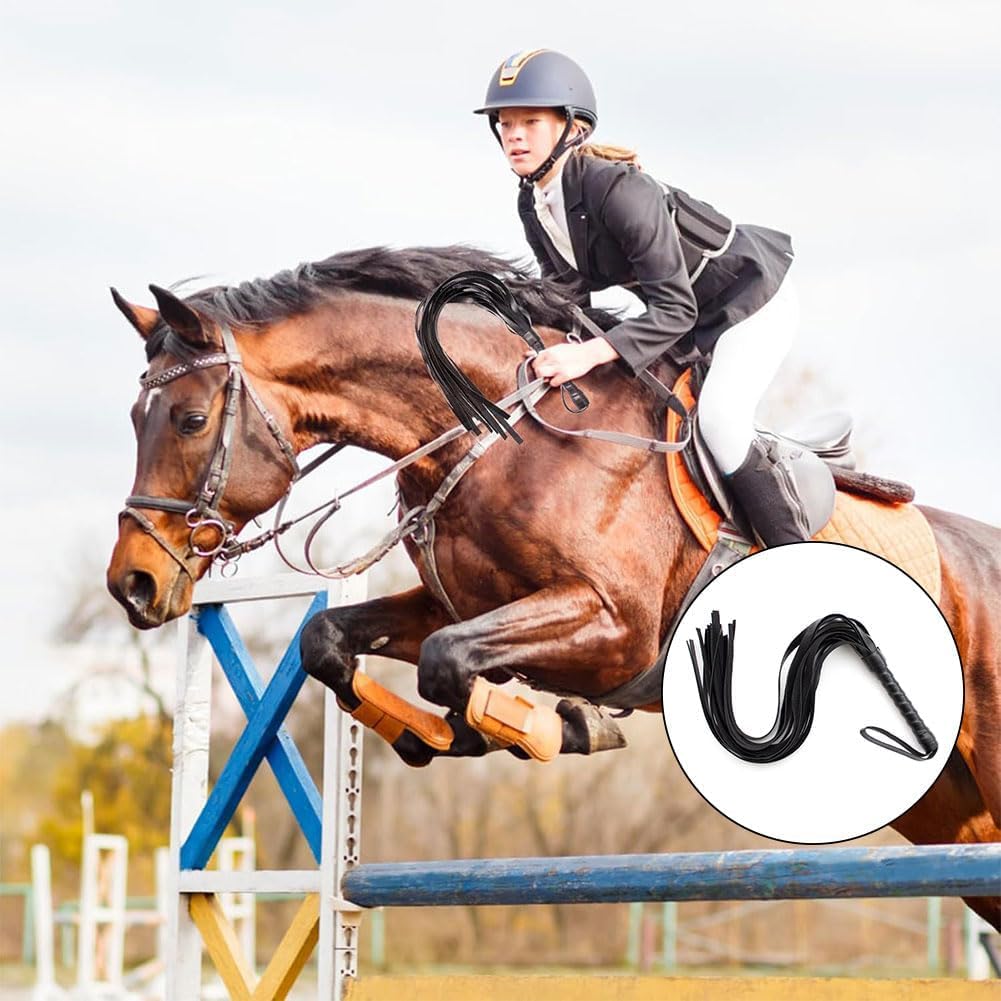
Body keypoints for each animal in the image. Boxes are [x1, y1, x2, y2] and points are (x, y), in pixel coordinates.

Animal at [105, 245, 1001, 927]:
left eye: (188, 420)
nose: (133, 584)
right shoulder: (457, 602)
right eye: (133, 419)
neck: (495, 436)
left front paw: (552, 724)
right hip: (943, 808)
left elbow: (447, 660)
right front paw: (440, 735)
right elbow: (333, 639)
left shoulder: (614, 628)